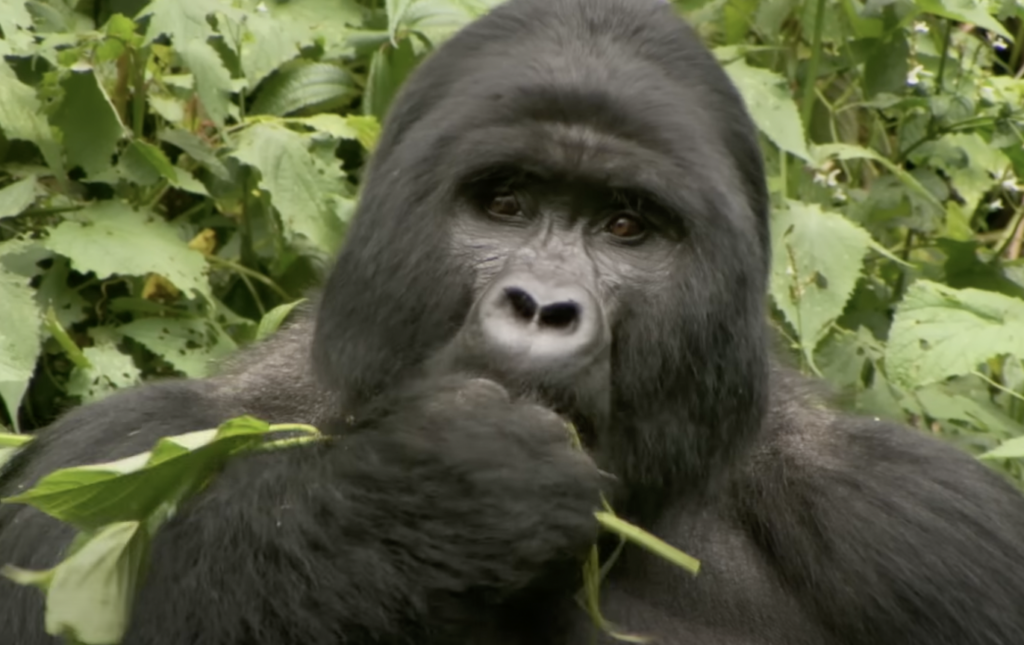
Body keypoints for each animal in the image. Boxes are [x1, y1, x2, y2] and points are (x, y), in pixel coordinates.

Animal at [2, 0, 1024, 642]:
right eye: (505, 203)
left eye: (625, 225)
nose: (543, 307)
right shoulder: (118, 449)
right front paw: (438, 496)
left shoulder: (926, 519)